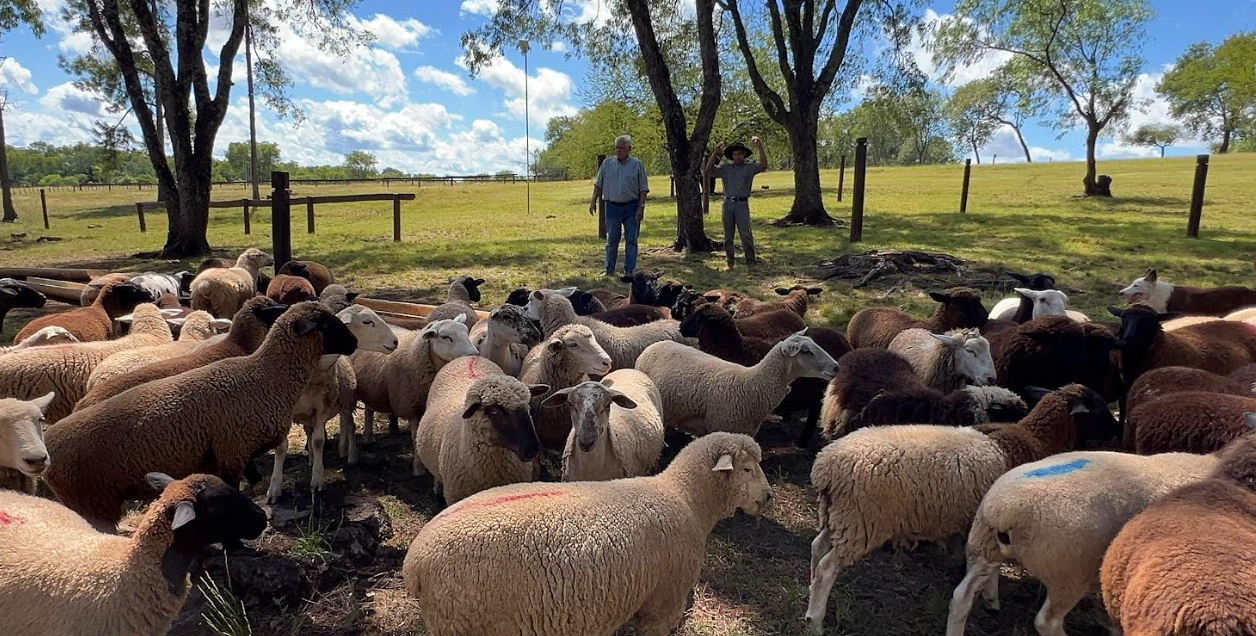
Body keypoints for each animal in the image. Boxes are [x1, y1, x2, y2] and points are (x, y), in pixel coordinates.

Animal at [273, 305, 398, 501]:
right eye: (366, 321)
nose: (395, 341)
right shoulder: (286, 409)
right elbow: (281, 448)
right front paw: (274, 488)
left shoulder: (322, 407)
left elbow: (318, 441)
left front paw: (317, 480)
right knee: (311, 430)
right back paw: (315, 457)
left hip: (346, 401)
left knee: (349, 425)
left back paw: (351, 454)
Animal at [348, 315, 478, 451]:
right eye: (445, 337)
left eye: (466, 332)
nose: (474, 354)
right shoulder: (410, 408)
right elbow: (415, 438)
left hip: (372, 386)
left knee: (369, 408)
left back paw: (369, 437)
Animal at [401, 432, 771, 636]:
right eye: (747, 469)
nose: (768, 497)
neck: (685, 498)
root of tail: (414, 561)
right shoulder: (663, 602)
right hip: (459, 623)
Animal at [804, 384, 1116, 635]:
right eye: (1099, 408)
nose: (1115, 430)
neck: (1034, 438)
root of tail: (826, 467)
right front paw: (991, 597)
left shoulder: (987, 526)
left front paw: (990, 598)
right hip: (863, 521)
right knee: (827, 568)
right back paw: (816, 621)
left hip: (839, 517)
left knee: (817, 548)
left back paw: (808, 600)